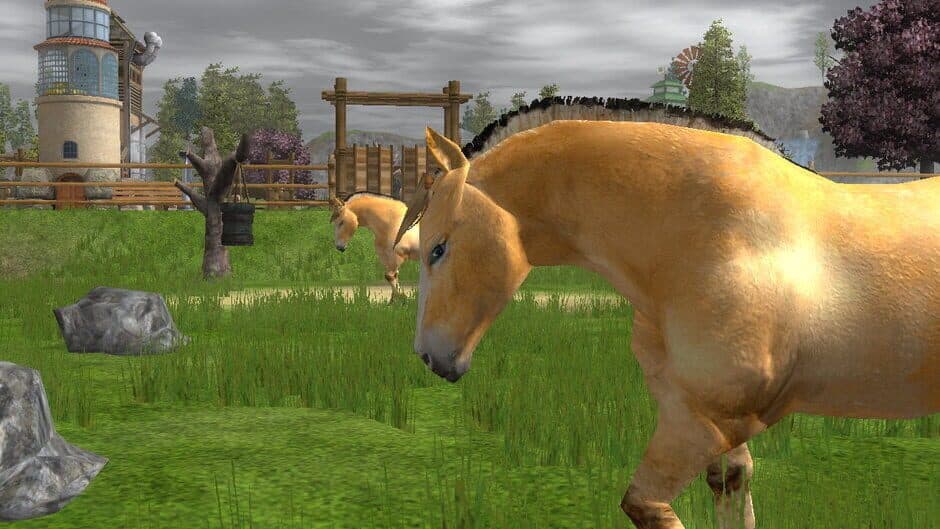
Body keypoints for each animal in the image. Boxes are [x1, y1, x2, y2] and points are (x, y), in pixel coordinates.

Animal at [395, 123, 940, 529]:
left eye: (438, 249)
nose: (430, 357)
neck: (703, 233)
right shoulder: (706, 420)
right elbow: (730, 486)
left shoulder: (704, 424)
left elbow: (643, 504)